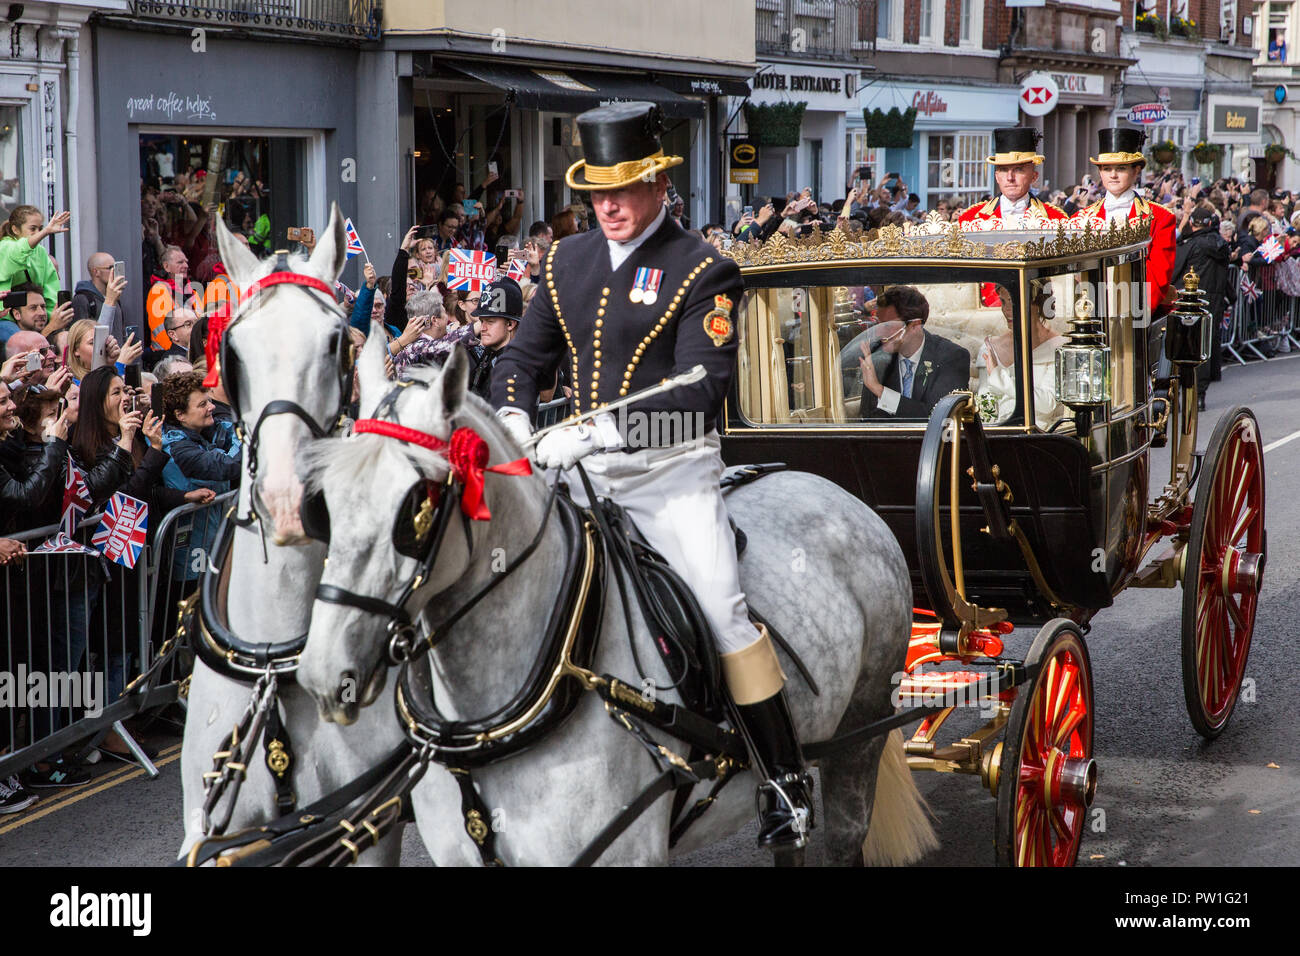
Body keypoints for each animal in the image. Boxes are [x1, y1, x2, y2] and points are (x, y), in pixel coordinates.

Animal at [175, 209, 403, 868]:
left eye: (334, 341)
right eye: (233, 351)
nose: (285, 500)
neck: (276, 666)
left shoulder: (367, 823)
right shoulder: (212, 830)